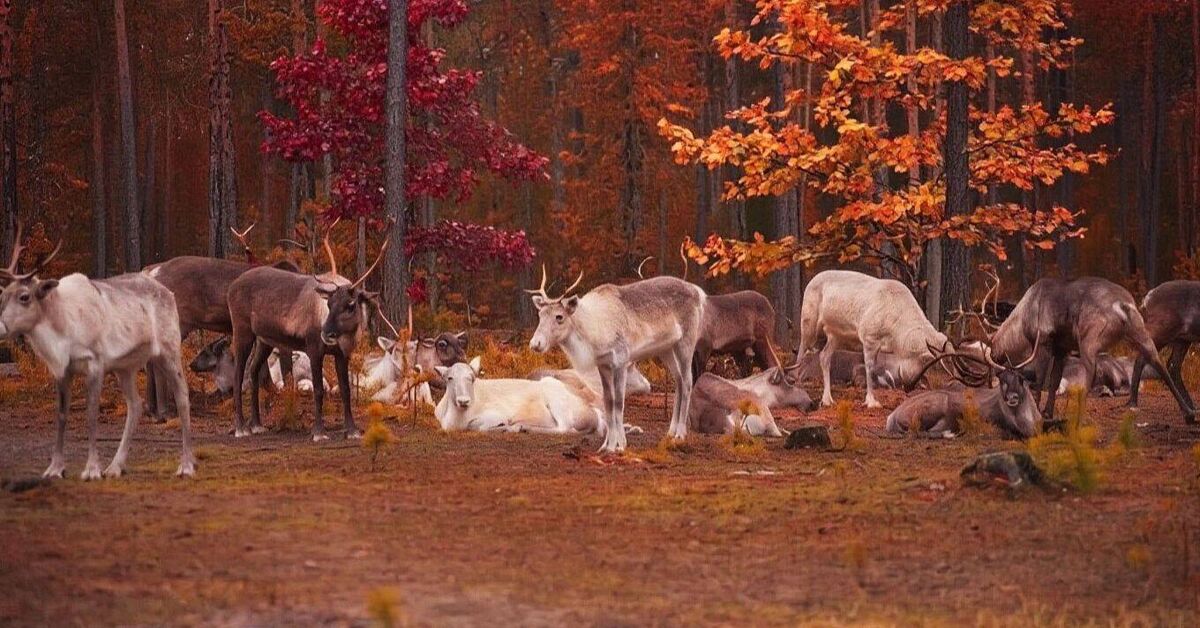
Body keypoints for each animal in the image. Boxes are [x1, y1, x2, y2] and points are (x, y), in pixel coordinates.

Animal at [0, 224, 195, 479]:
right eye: (2, 296)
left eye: (24, 296)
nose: (1, 327)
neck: (62, 330)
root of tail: (168, 292)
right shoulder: (63, 370)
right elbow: (61, 415)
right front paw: (55, 468)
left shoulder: (95, 363)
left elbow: (91, 414)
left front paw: (91, 469)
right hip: (125, 367)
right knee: (135, 404)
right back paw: (115, 466)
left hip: (169, 350)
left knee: (182, 396)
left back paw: (186, 465)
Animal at [226, 220, 392, 440]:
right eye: (329, 303)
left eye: (350, 305)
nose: (326, 333)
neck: (347, 337)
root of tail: (231, 286)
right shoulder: (314, 349)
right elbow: (319, 390)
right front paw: (319, 432)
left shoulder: (342, 354)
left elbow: (346, 390)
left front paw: (352, 430)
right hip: (242, 331)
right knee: (238, 375)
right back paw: (241, 427)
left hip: (264, 340)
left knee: (253, 371)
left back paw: (257, 424)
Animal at [526, 265, 706, 452]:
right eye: (540, 314)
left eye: (559, 316)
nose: (535, 343)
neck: (594, 334)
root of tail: (699, 293)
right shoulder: (604, 365)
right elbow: (608, 402)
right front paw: (607, 445)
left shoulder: (621, 360)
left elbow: (619, 402)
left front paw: (618, 445)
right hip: (666, 349)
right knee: (678, 381)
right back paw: (670, 432)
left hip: (686, 341)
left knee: (687, 382)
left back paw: (680, 434)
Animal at [799, 270, 959, 409]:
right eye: (925, 360)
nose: (909, 387)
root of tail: (810, 282)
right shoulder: (869, 338)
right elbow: (870, 368)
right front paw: (871, 402)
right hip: (808, 324)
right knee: (802, 352)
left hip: (836, 335)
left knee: (824, 356)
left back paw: (827, 400)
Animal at [1129, 280, 1200, 411]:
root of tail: (1148, 298)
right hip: (1163, 331)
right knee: (1143, 358)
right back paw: (1133, 402)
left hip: (1182, 339)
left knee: (1173, 365)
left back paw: (1189, 405)